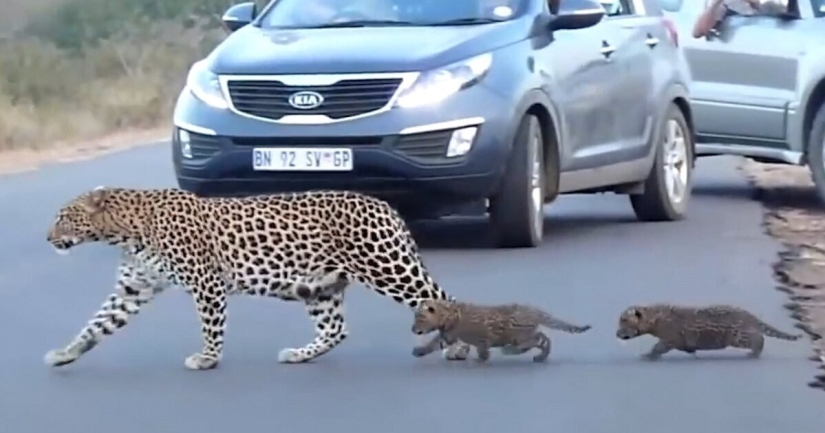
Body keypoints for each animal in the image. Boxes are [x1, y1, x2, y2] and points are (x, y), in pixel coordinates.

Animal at [43, 186, 472, 370]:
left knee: (442, 299)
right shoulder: (133, 288)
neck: (125, 231)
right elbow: (97, 323)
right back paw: (300, 354)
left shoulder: (205, 282)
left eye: (63, 217)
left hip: (389, 268)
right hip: (321, 286)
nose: (47, 238)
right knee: (335, 329)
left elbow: (211, 325)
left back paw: (458, 349)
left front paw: (207, 359)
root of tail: (385, 205)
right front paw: (66, 352)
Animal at [410, 299, 592, 363]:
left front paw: (481, 359)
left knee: (540, 339)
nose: (413, 329)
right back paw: (539, 356)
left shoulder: (482, 337)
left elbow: (482, 348)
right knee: (542, 338)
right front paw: (419, 351)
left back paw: (515, 351)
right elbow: (433, 343)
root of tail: (535, 310)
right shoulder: (447, 336)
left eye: (419, 318)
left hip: (519, 335)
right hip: (523, 335)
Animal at [615, 303, 803, 360]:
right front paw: (691, 350)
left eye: (623, 321)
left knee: (759, 338)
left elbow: (658, 347)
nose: (616, 334)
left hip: (737, 336)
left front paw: (648, 356)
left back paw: (754, 353)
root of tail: (749, 314)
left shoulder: (669, 338)